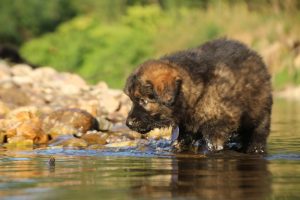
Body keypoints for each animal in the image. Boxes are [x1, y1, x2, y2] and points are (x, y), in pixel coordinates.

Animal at [123, 39, 274, 153]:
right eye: (132, 100)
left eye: (143, 101)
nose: (128, 123)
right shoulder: (186, 129)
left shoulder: (218, 124)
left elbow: (214, 145)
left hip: (259, 113)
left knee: (258, 133)